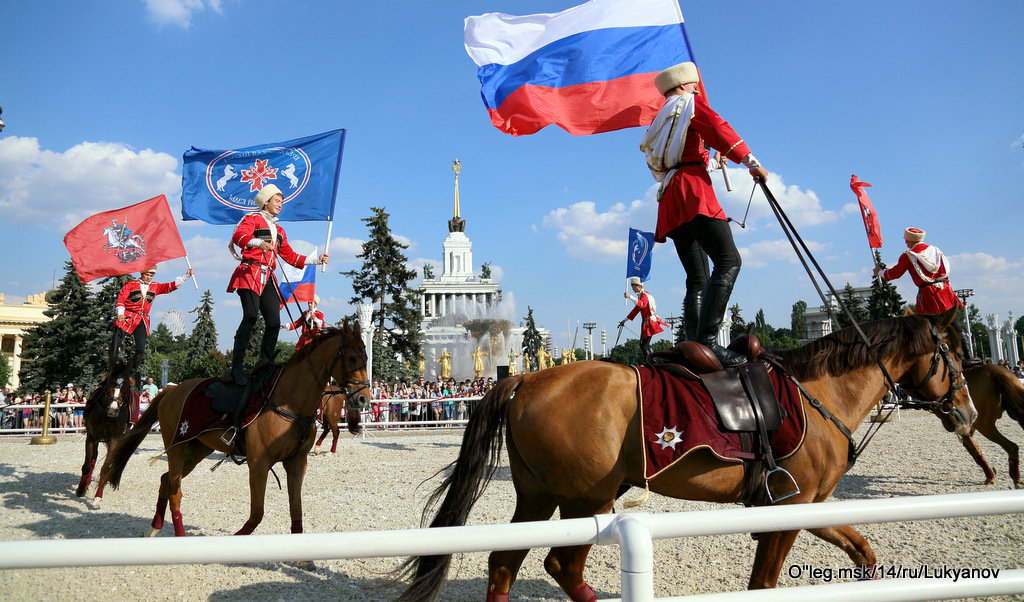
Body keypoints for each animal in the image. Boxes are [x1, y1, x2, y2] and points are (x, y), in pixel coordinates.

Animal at [75, 362, 136, 497]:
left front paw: (98, 497)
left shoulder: (115, 440)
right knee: (93, 459)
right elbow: (87, 465)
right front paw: (81, 488)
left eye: (125, 389)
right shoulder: (91, 437)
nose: (113, 410)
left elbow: (105, 468)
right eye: (108, 386)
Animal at [99, 321, 370, 536]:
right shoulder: (259, 463)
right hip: (177, 447)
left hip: (197, 449)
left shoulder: (296, 462)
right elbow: (257, 513)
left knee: (166, 480)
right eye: (352, 358)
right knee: (175, 490)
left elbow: (296, 511)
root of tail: (171, 390)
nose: (363, 398)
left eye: (366, 358)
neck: (288, 402)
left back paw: (154, 528)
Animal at [393, 307, 974, 597]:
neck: (818, 394)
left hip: (540, 496)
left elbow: (862, 550)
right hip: (588, 499)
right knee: (561, 565)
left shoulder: (807, 505)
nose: (968, 412)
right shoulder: (789, 508)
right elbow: (763, 583)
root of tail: (525, 379)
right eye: (953, 352)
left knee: (504, 563)